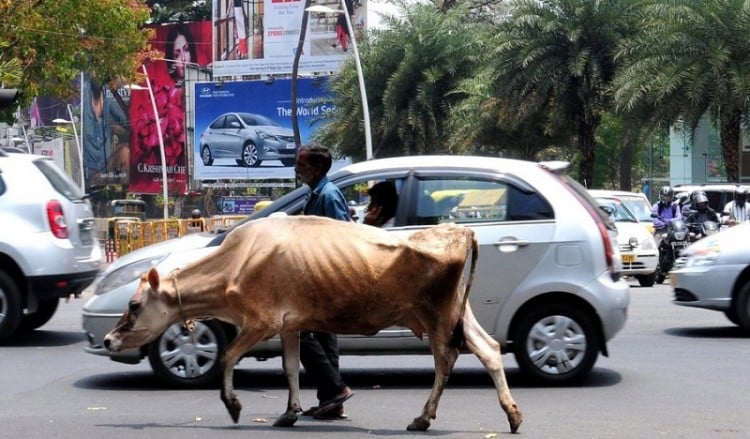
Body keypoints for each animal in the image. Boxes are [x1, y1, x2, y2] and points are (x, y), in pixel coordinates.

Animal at [103, 216, 524, 434]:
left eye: (134, 304)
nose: (108, 340)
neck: (235, 262)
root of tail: (459, 229)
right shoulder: (289, 325)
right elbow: (291, 368)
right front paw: (290, 412)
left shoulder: (261, 321)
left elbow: (227, 357)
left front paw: (234, 405)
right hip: (457, 313)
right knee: (488, 349)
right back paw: (513, 414)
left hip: (437, 315)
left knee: (445, 359)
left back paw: (422, 418)